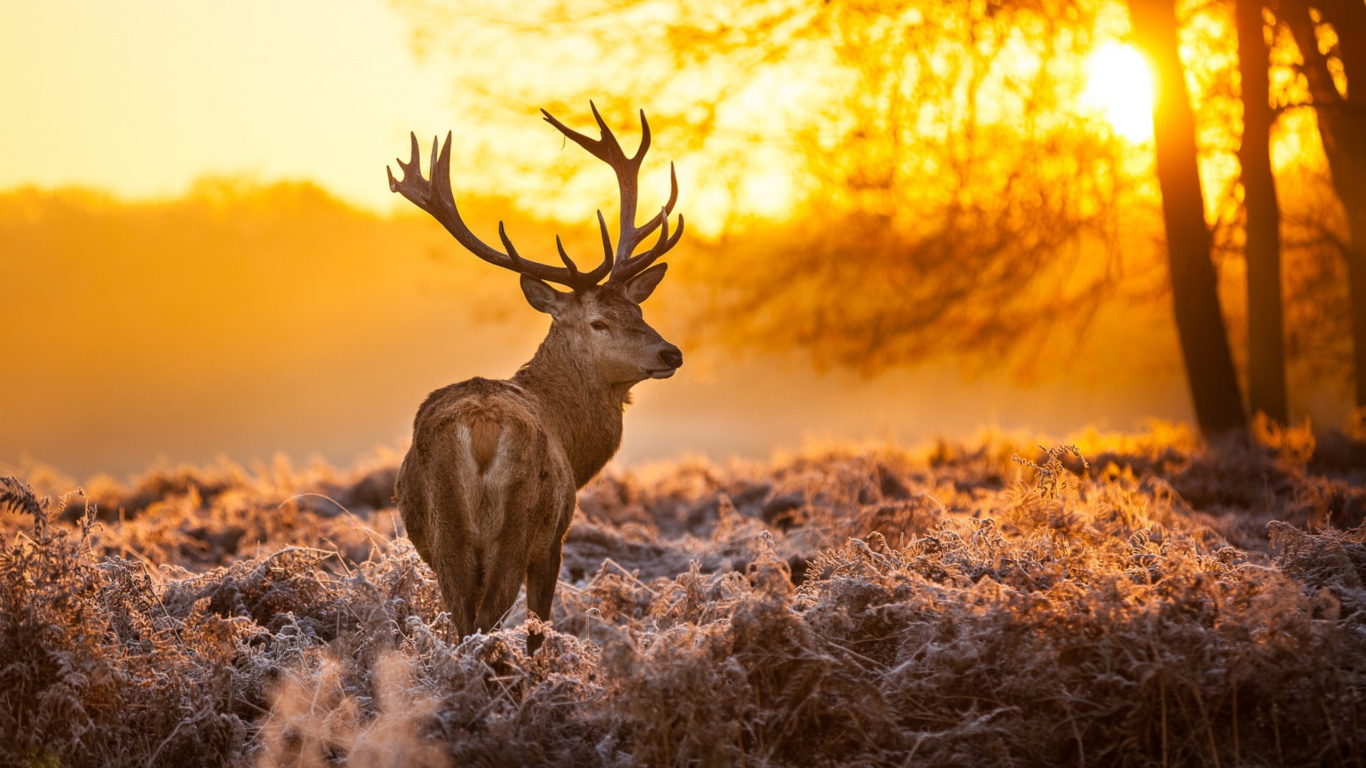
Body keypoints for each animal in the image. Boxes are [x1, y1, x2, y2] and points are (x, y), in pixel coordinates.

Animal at [387, 104, 684, 654]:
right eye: (599, 322)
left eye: (638, 309)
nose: (670, 352)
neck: (573, 439)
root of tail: (481, 428)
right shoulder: (555, 538)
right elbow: (538, 629)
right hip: (518, 524)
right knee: (488, 620)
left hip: (445, 534)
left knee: (463, 621)